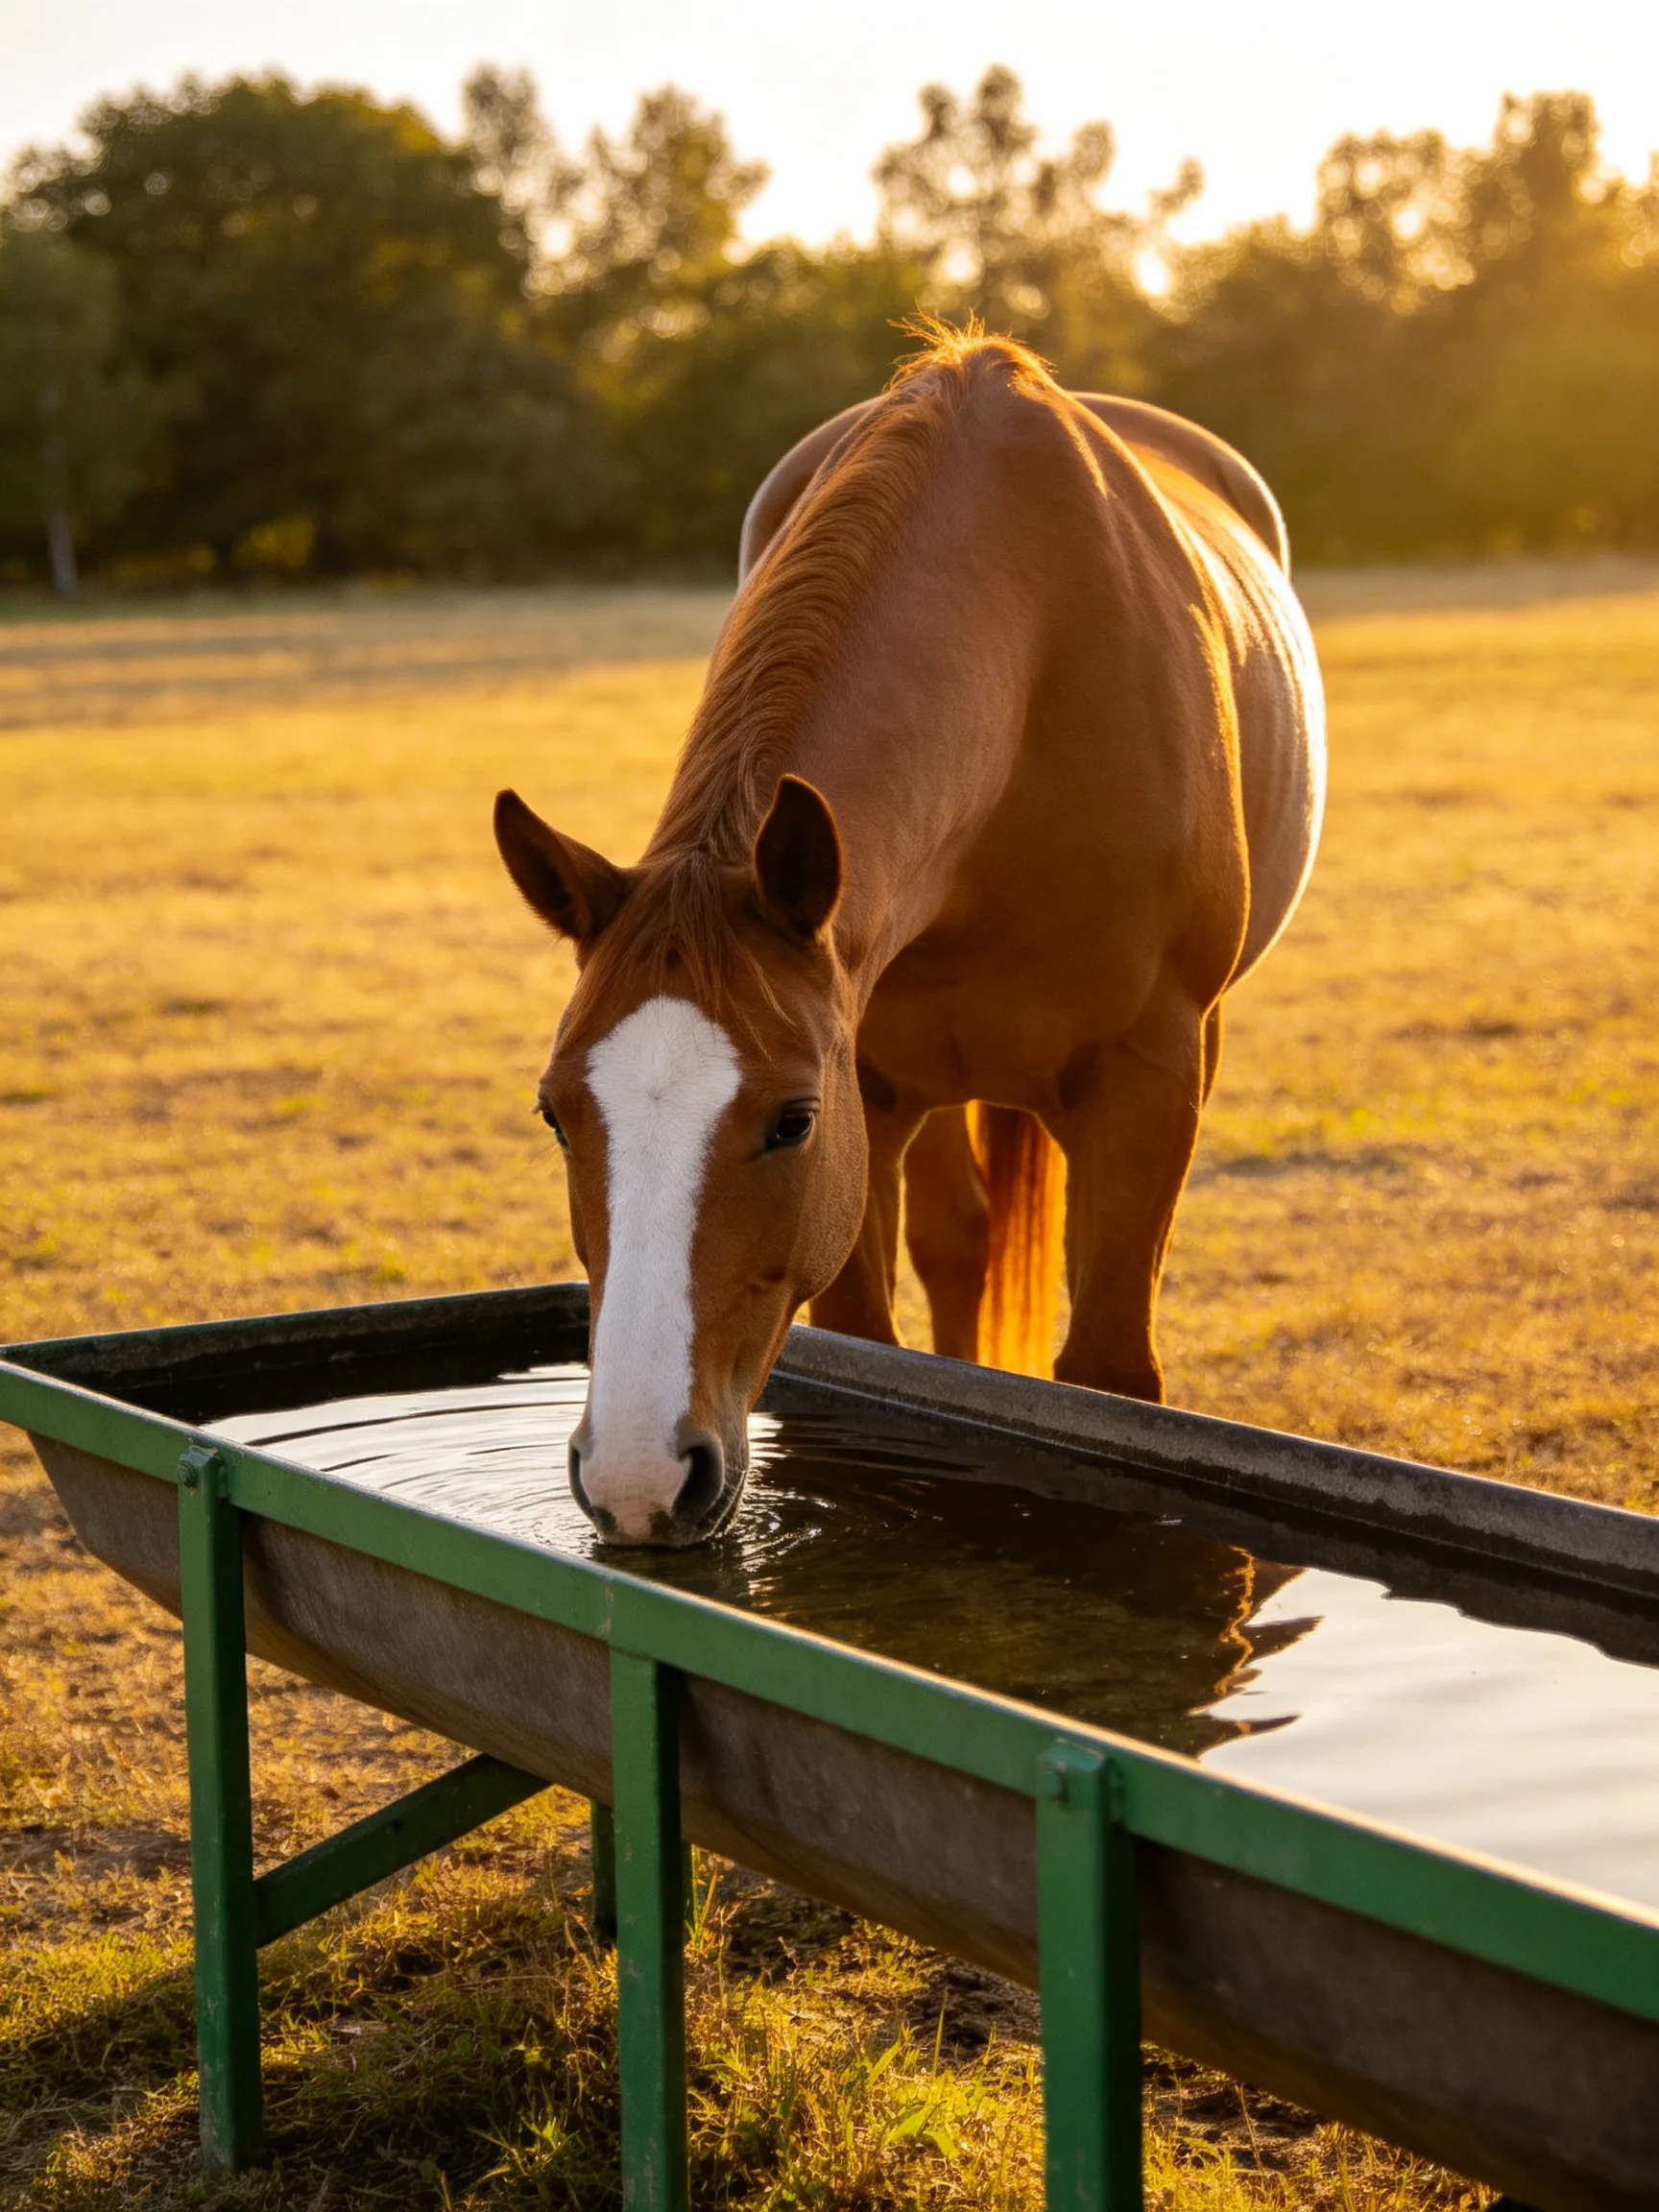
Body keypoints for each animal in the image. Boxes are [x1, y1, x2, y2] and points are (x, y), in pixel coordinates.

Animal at [494, 331, 1325, 1545]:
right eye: (557, 1116)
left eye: (791, 1120)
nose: (638, 1482)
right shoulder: (874, 1094)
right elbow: (876, 1351)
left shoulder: (1147, 1082)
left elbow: (1112, 1378)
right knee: (961, 1242)